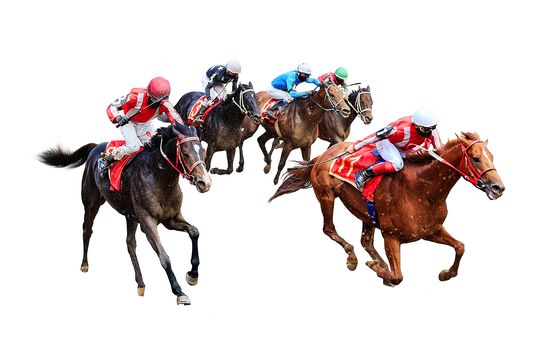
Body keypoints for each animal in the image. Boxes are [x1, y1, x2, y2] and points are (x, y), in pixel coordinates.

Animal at [37, 121, 210, 304]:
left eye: (203, 151)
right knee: (87, 229)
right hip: (91, 203)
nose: (205, 183)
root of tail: (96, 147)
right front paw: (179, 291)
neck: (157, 175)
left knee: (130, 243)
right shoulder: (148, 222)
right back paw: (84, 264)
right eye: (185, 153)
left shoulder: (171, 218)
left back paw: (140, 283)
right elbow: (164, 256)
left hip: (130, 215)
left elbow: (194, 232)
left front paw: (193, 274)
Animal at [270, 133, 504, 286]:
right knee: (329, 229)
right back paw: (353, 259)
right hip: (326, 196)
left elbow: (460, 247)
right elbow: (398, 276)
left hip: (365, 213)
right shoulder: (391, 235)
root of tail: (322, 156)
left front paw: (446, 273)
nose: (498, 188)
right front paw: (378, 269)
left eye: (492, 157)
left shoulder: (430, 230)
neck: (423, 189)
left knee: (365, 241)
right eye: (475, 158)